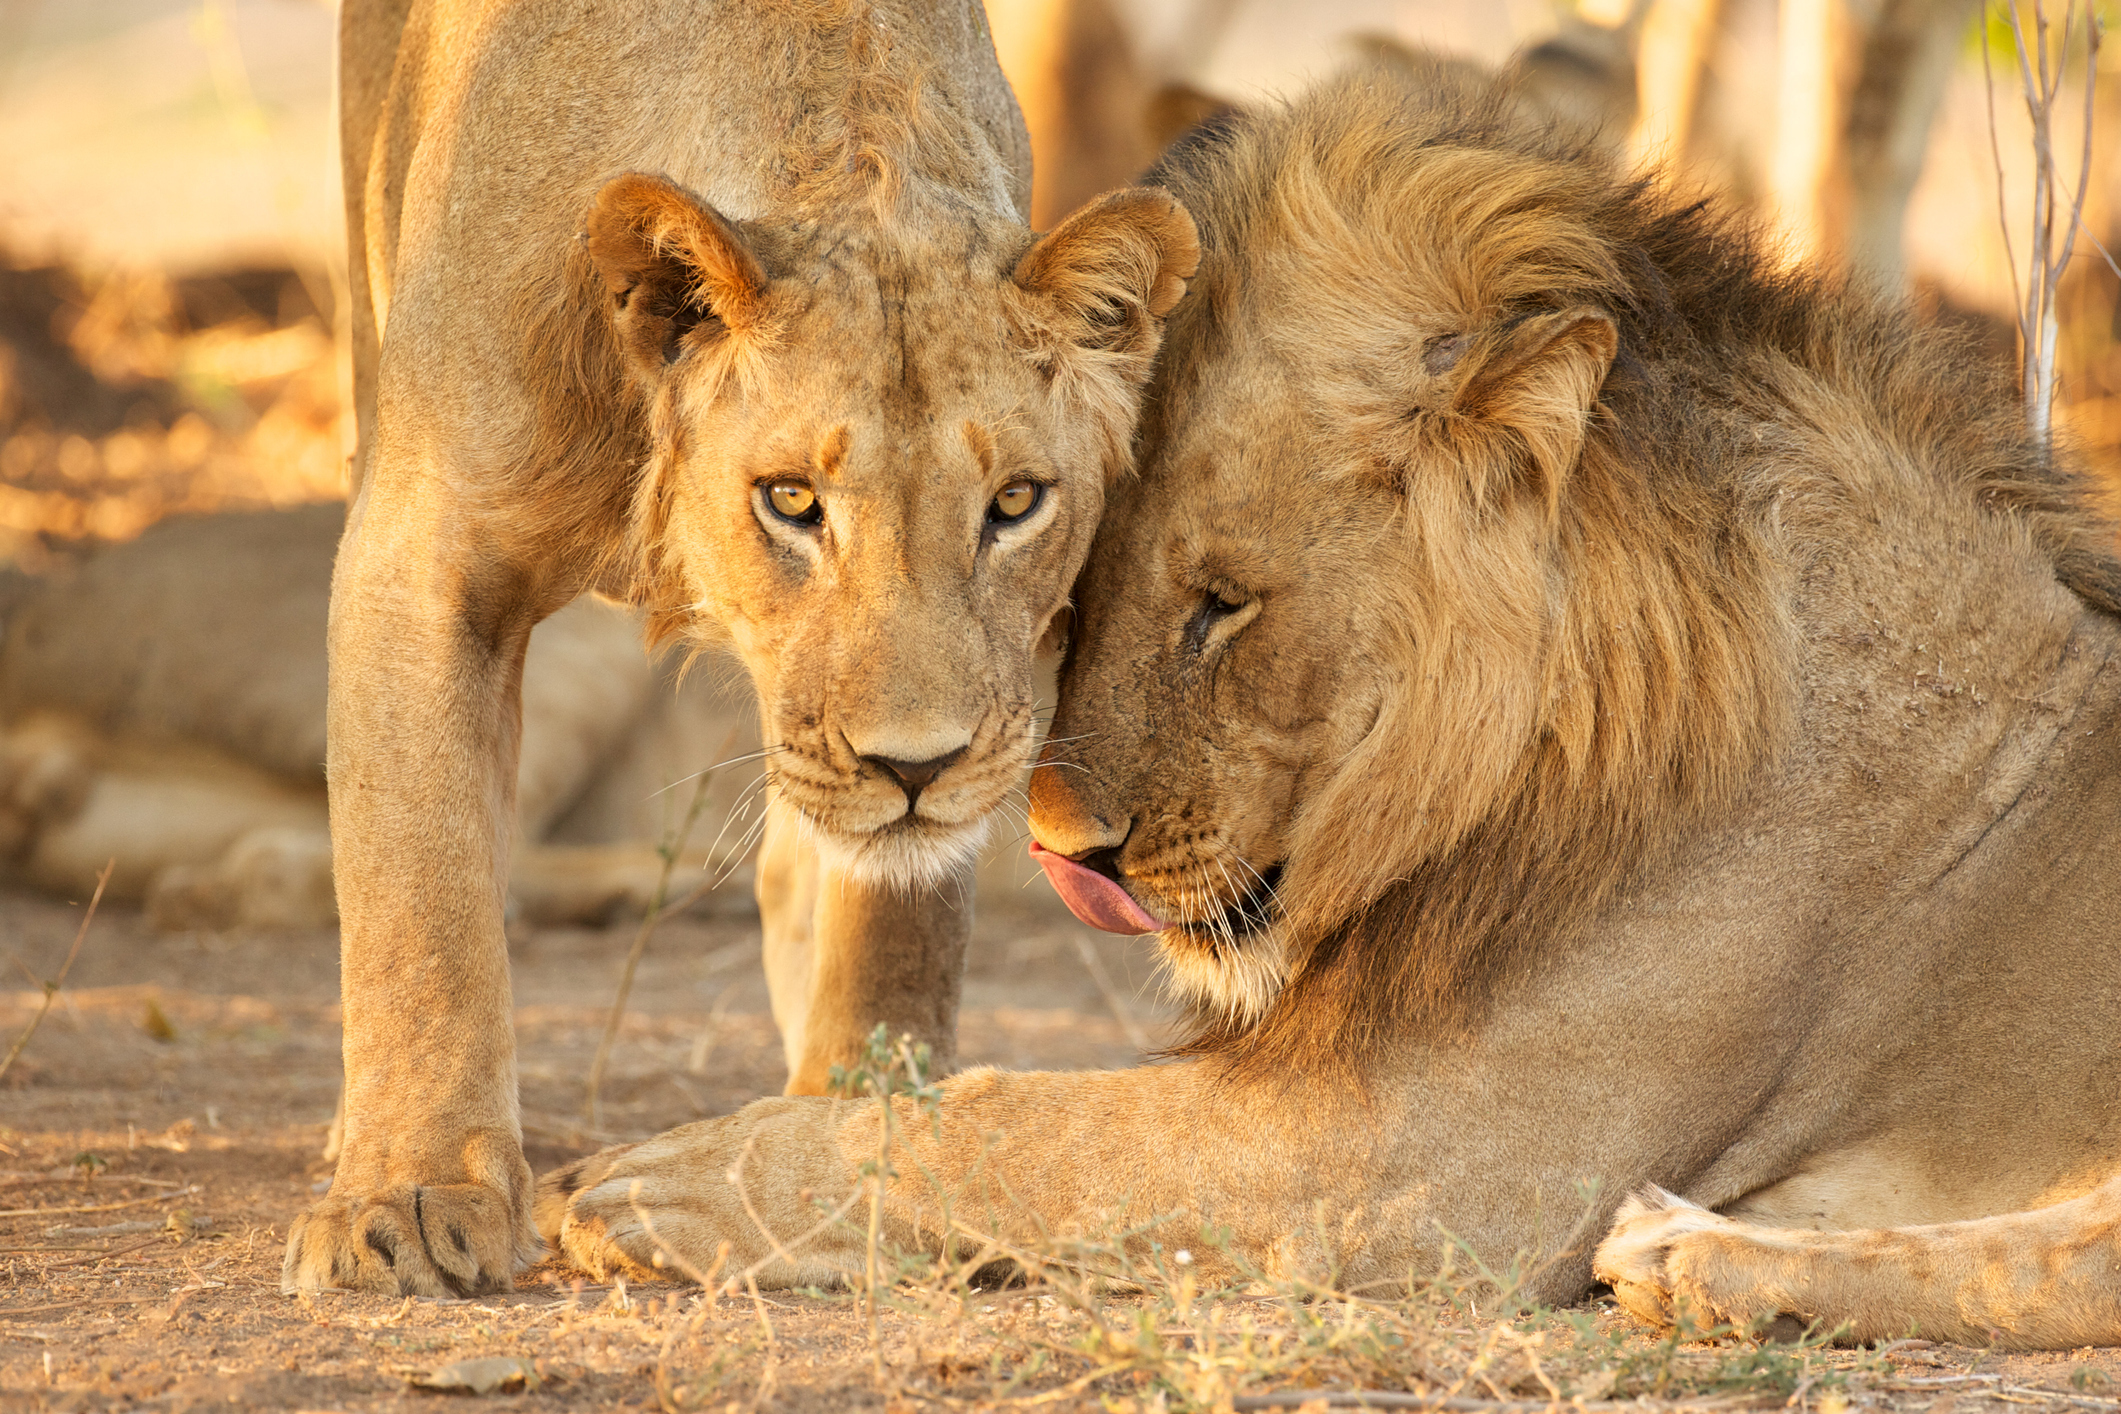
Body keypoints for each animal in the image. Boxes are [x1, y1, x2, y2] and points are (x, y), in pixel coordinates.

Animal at [293, 0, 1197, 1297]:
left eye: (1018, 502)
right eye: (791, 501)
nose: (914, 767)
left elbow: (897, 922)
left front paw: (846, 1133)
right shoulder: (419, 552)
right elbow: (422, 900)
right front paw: (408, 1198)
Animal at [530, 62, 2121, 1351]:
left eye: (1223, 603)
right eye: (1078, 585)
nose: (1059, 850)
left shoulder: (1428, 1152)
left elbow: (1024, 1129)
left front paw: (662, 1178)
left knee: (2057, 1272)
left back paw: (1700, 1262)